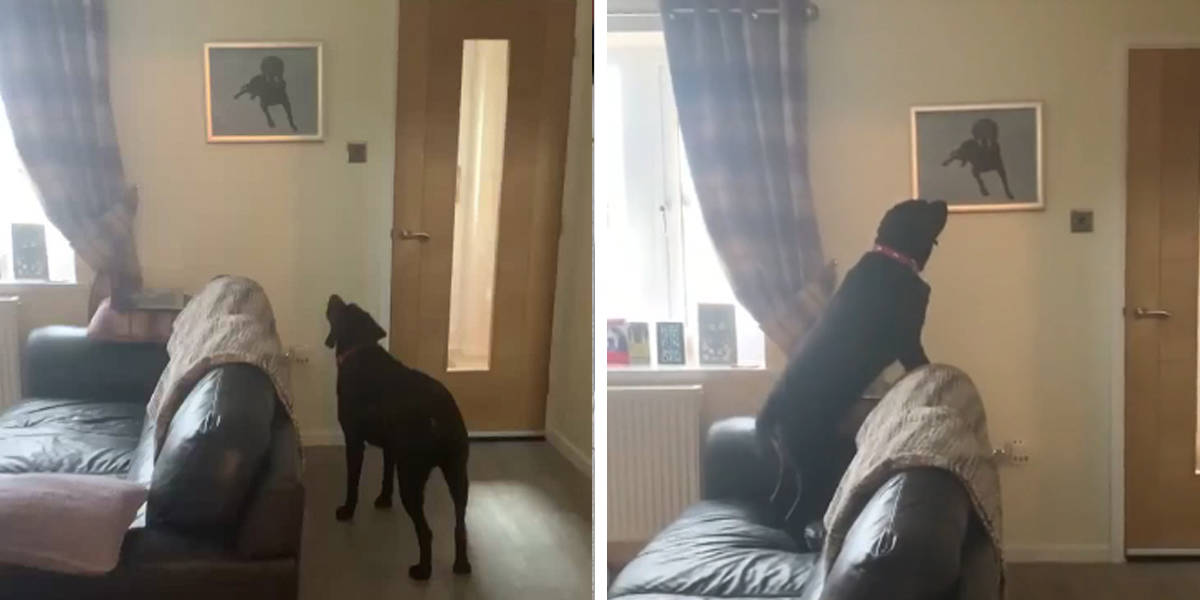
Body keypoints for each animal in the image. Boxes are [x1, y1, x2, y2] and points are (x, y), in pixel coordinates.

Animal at [324, 294, 472, 576]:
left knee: (426, 531)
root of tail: (441, 413)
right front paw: (383, 500)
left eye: (344, 309)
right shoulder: (391, 447)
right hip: (457, 471)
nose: (334, 296)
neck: (360, 348)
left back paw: (422, 570)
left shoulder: (354, 439)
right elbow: (385, 475)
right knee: (460, 524)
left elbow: (353, 480)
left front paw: (347, 510)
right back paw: (461, 565)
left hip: (412, 475)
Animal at [758, 199, 945, 542]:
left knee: (777, 498)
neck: (895, 256)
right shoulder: (907, 338)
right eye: (923, 206)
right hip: (809, 458)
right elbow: (920, 360)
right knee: (794, 512)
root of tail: (771, 409)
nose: (941, 200)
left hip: (788, 465)